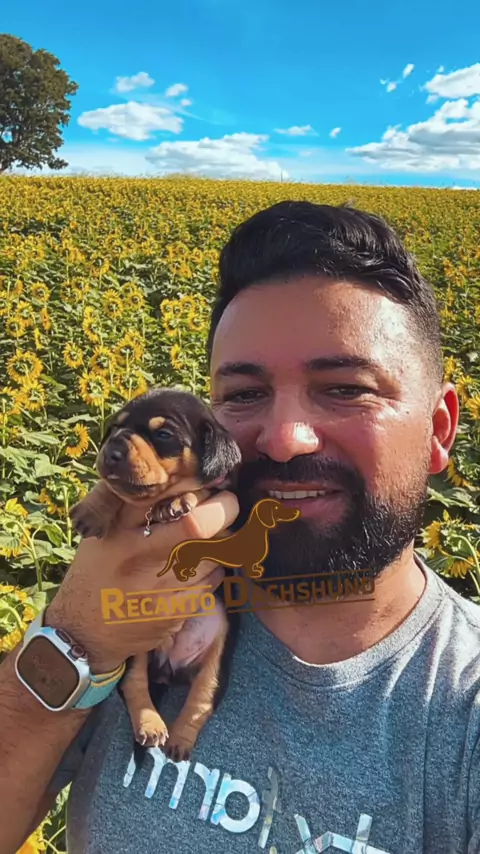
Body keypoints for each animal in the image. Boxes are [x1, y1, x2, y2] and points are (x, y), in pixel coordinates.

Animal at [69, 386, 242, 761]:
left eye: (163, 435)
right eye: (114, 428)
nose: (112, 451)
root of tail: (169, 670)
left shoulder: (230, 509)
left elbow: (205, 488)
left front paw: (178, 502)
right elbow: (111, 487)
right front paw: (93, 510)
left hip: (218, 658)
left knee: (201, 699)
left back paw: (178, 741)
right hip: (136, 652)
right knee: (135, 685)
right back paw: (151, 726)